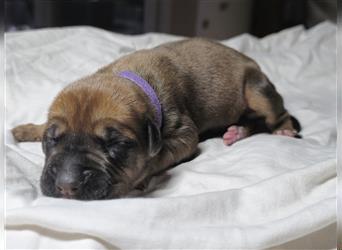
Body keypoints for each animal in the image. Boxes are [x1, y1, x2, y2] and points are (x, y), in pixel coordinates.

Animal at [11, 38, 300, 200]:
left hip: (256, 89)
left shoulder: (184, 133)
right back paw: (236, 131)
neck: (129, 76)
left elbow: (160, 156)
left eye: (116, 145)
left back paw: (283, 129)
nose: (66, 187)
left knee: (275, 114)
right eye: (52, 140)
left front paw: (140, 178)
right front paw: (28, 129)